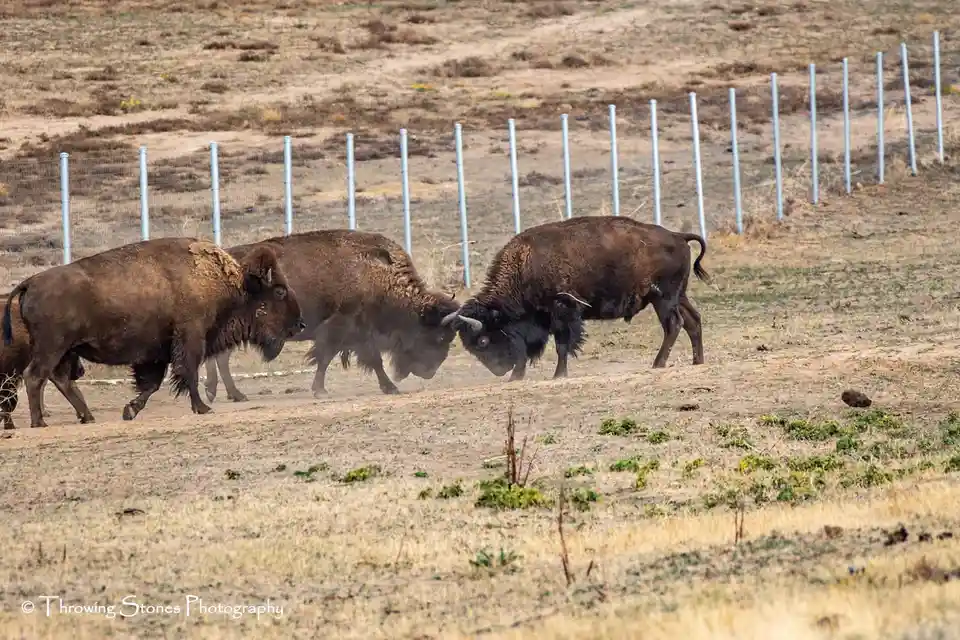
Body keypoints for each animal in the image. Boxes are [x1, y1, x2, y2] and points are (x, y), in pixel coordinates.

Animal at [2, 237, 304, 428]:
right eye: (279, 291)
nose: (299, 324)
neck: (231, 284)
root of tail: (29, 282)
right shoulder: (190, 339)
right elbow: (188, 374)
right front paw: (203, 408)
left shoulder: (156, 354)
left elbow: (152, 384)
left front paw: (130, 410)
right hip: (52, 347)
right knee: (35, 377)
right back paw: (40, 421)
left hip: (65, 350)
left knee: (60, 380)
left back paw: (87, 417)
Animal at [203, 229, 461, 400]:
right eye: (438, 336)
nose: (429, 372)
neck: (378, 275)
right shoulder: (343, 328)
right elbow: (331, 357)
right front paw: (321, 390)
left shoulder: (359, 334)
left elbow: (367, 360)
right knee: (220, 359)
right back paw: (233, 394)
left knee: (218, 358)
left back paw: (221, 392)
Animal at [439, 216, 709, 379]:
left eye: (483, 341)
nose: (498, 371)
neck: (524, 266)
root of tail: (678, 236)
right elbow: (529, 350)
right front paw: (517, 377)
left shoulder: (563, 312)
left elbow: (562, 345)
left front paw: (558, 374)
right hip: (678, 296)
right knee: (693, 321)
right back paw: (697, 361)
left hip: (663, 299)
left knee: (674, 324)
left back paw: (658, 363)